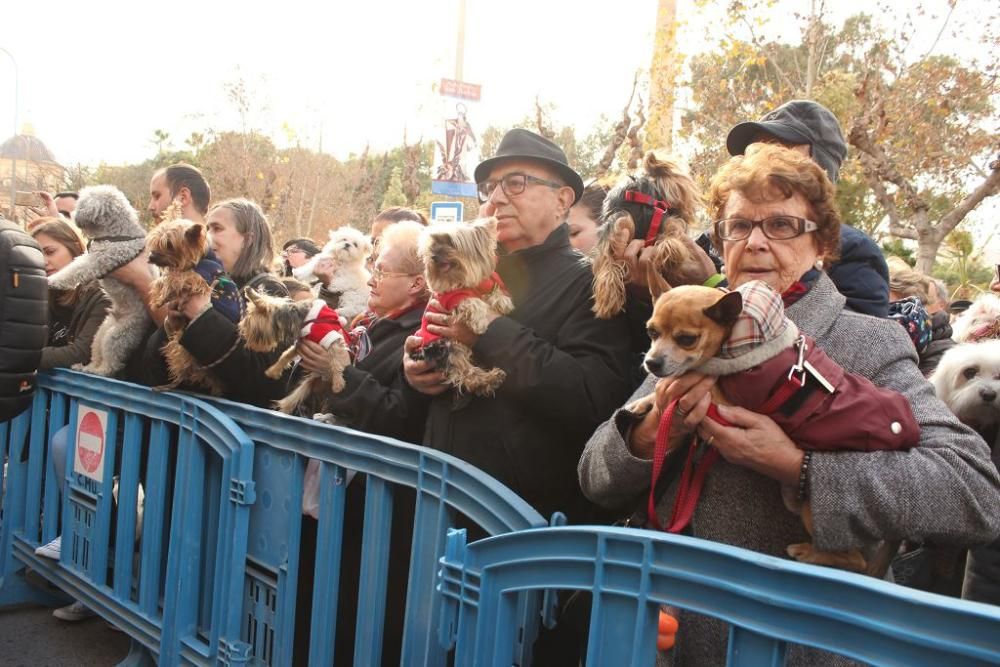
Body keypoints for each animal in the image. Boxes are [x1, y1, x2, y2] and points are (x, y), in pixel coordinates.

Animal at [47, 185, 154, 378]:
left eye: (82, 202)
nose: (71, 214)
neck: (117, 234)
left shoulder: (96, 261)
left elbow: (73, 271)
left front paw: (52, 280)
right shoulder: (91, 257)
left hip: (117, 336)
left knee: (112, 365)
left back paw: (99, 371)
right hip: (100, 334)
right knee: (97, 356)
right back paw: (85, 368)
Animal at [146, 214, 241, 394]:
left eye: (169, 245)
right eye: (155, 242)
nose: (150, 257)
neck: (202, 258)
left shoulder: (198, 278)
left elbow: (175, 277)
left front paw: (159, 296)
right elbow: (168, 278)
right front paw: (159, 297)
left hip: (182, 348)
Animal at [410, 218, 512, 396]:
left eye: (450, 241)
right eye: (433, 245)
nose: (433, 255)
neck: (460, 280)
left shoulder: (487, 284)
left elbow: (494, 291)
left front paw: (503, 302)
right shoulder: (452, 297)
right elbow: (471, 302)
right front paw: (480, 323)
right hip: (444, 346)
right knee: (466, 374)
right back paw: (490, 378)